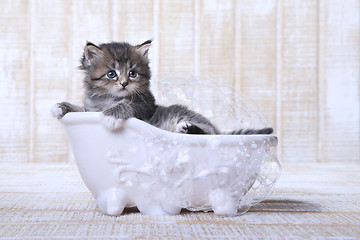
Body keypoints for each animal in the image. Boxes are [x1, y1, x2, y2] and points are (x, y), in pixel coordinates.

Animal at [52, 39, 272, 135]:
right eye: (111, 74)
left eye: (132, 73)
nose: (124, 83)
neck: (108, 99)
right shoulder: (90, 107)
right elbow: (81, 109)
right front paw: (61, 107)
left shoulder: (144, 106)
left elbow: (127, 105)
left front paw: (111, 115)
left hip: (182, 113)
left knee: (209, 133)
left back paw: (187, 128)